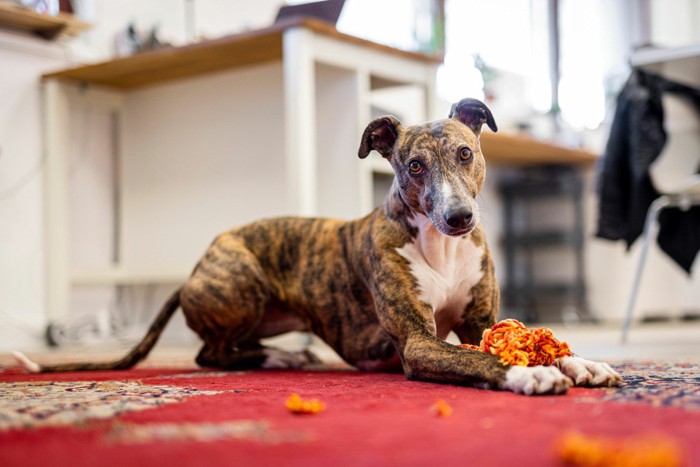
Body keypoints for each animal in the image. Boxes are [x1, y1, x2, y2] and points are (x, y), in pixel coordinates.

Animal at [13, 98, 620, 394]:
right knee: (211, 354)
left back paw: (288, 354)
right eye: (413, 165)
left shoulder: (479, 321)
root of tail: (193, 270)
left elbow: (523, 342)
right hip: (244, 283)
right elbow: (477, 357)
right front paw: (527, 373)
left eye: (466, 153)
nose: (459, 218)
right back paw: (280, 357)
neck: (440, 250)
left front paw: (579, 362)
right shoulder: (419, 343)